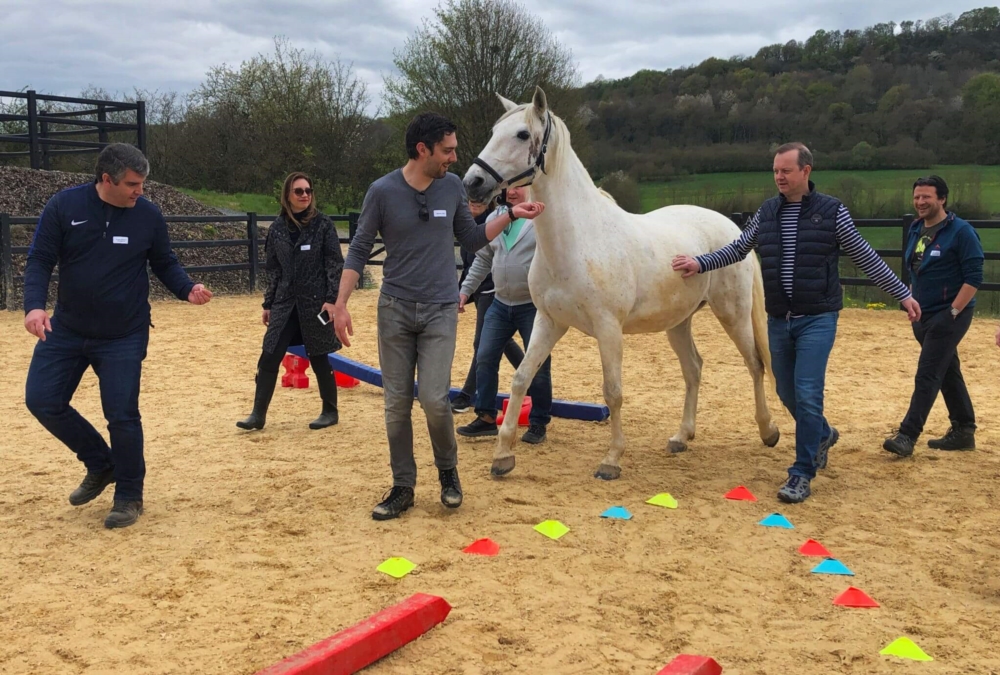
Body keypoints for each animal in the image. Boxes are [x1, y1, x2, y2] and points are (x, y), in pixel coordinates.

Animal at [462, 88, 780, 480]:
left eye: (522, 134)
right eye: (494, 131)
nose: (473, 182)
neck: (577, 239)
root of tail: (735, 228)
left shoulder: (607, 327)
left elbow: (612, 391)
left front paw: (612, 460)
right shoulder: (549, 322)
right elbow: (522, 377)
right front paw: (503, 456)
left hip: (733, 314)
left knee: (755, 363)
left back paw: (768, 430)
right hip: (678, 322)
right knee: (693, 369)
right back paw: (681, 436)